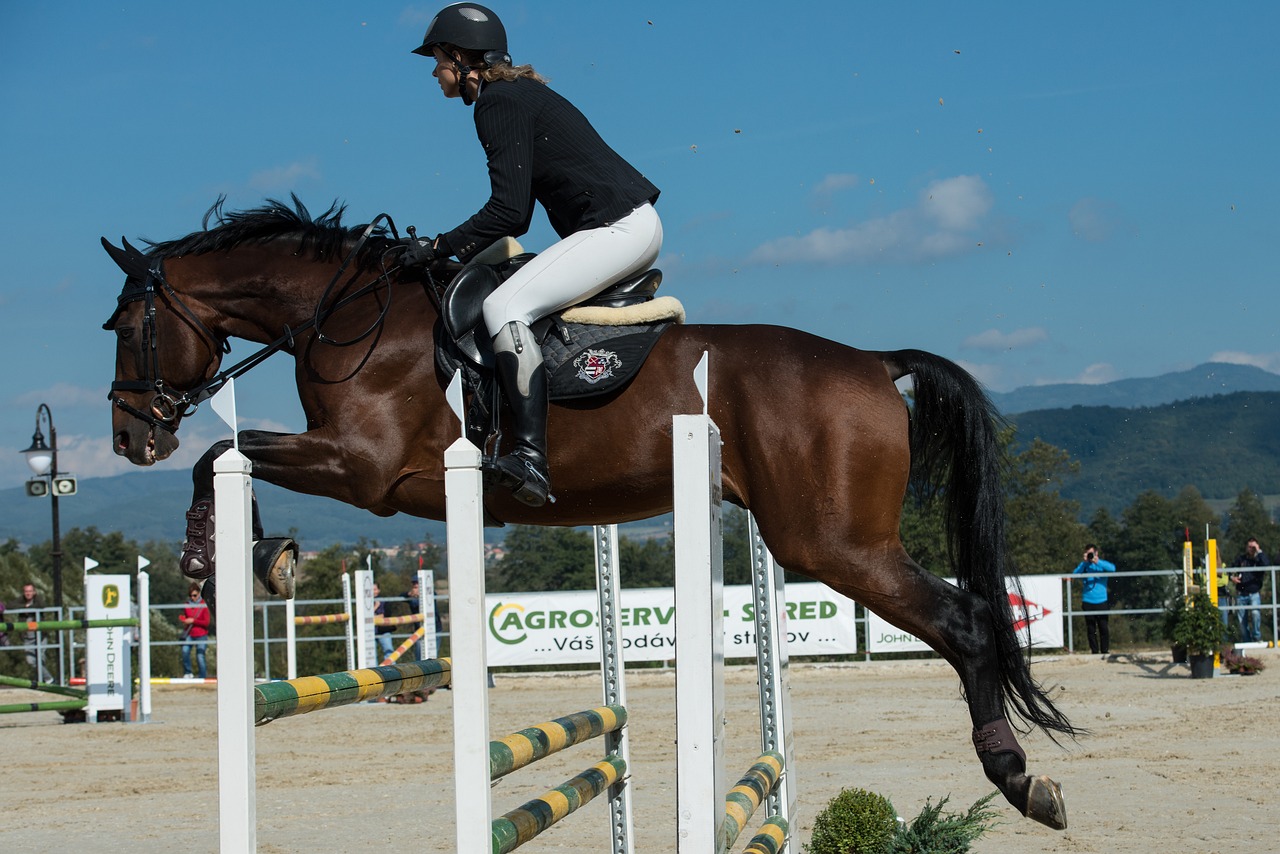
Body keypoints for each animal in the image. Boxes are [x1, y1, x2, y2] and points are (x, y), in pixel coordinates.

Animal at [104, 195, 1075, 829]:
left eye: (123, 327)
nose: (128, 437)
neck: (346, 314)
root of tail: (875, 363)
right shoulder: (360, 469)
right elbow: (225, 456)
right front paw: (250, 555)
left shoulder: (363, 468)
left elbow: (220, 456)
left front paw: (232, 559)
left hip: (832, 543)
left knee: (965, 620)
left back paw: (1019, 779)